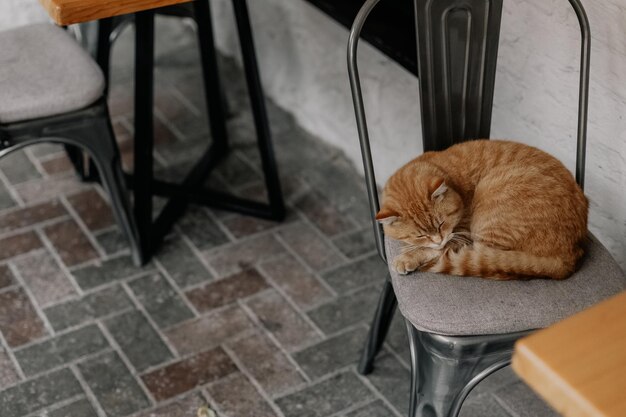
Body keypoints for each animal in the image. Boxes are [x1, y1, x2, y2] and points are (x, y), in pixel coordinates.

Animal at [378, 140, 588, 280]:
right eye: (420, 235)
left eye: (441, 223)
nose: (437, 239)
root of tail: (569, 257)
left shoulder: (462, 234)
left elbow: (439, 248)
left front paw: (408, 256)